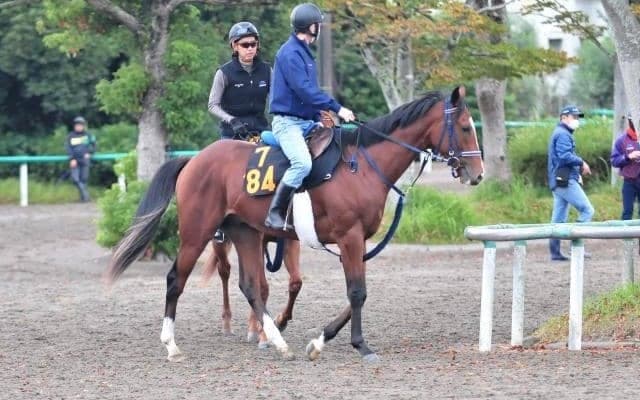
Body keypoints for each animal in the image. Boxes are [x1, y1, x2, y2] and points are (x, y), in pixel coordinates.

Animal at [106, 86, 484, 362]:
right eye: (465, 127)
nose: (477, 174)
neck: (361, 166)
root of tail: (195, 159)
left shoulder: (357, 242)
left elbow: (357, 293)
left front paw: (319, 340)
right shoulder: (349, 238)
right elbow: (357, 293)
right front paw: (360, 345)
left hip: (245, 233)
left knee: (249, 286)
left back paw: (276, 340)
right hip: (197, 233)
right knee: (176, 279)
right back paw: (171, 344)